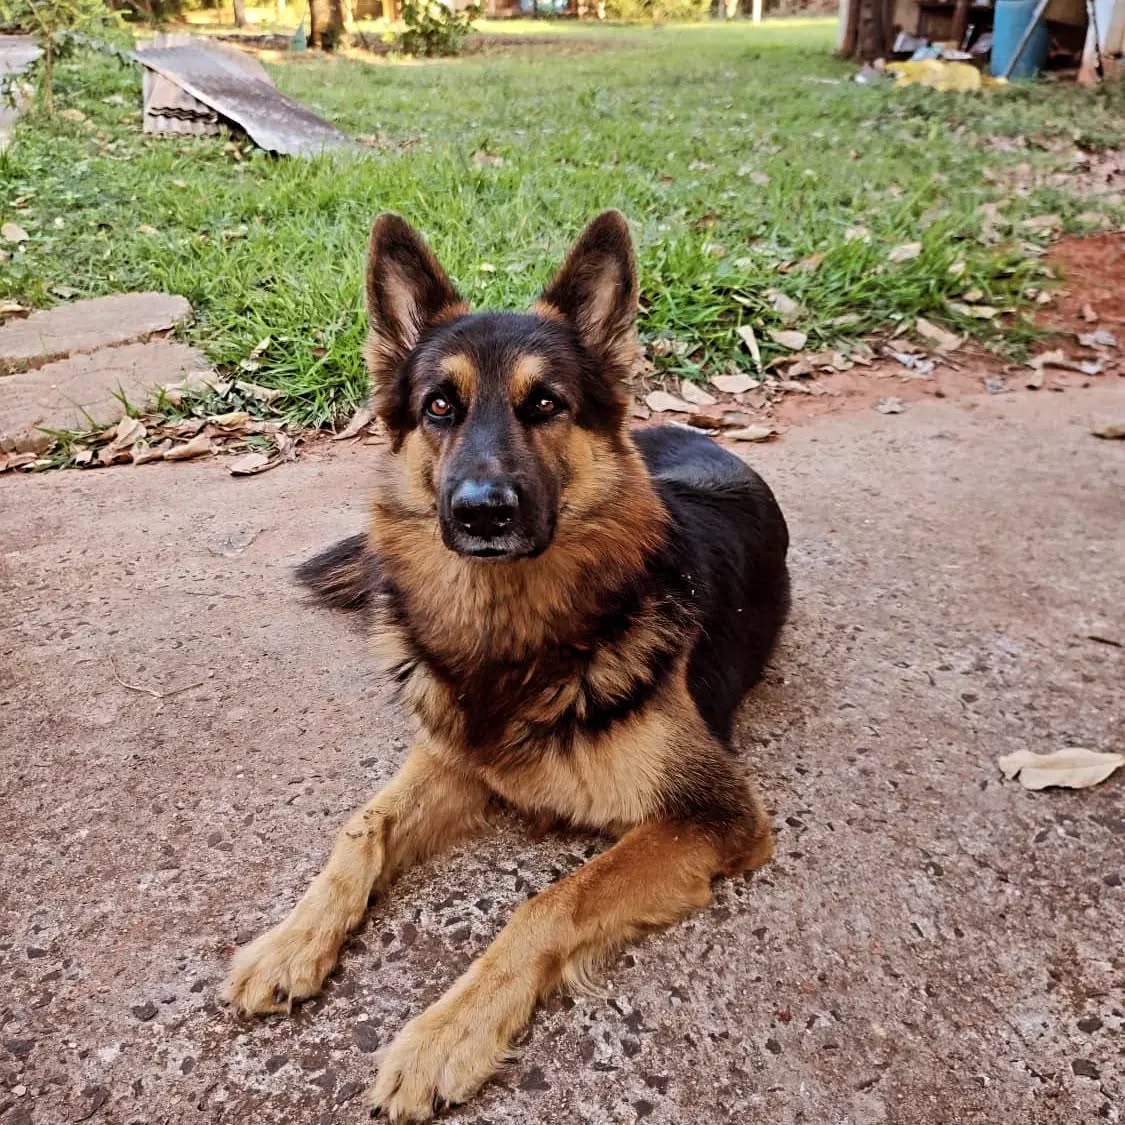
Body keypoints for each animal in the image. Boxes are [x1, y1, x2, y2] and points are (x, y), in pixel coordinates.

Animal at [223, 209, 792, 1116]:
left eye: (546, 404)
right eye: (439, 406)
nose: (481, 512)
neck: (513, 639)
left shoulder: (712, 815)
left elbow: (548, 903)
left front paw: (445, 1032)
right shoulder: (453, 754)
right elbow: (360, 827)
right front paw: (291, 941)